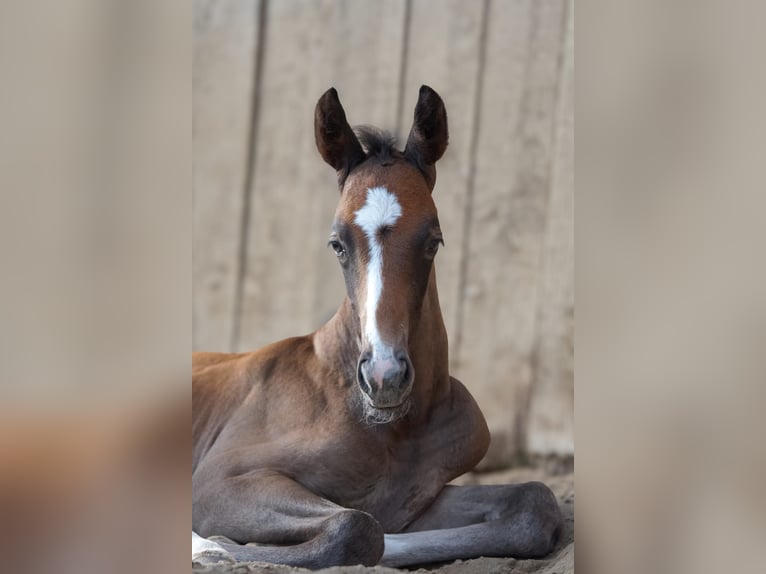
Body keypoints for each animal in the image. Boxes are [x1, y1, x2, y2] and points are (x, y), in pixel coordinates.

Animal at [192, 85, 562, 568]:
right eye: (337, 244)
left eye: (433, 240)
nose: (384, 377)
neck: (391, 429)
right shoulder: (218, 482)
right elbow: (357, 525)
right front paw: (214, 547)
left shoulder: (413, 499)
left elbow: (532, 504)